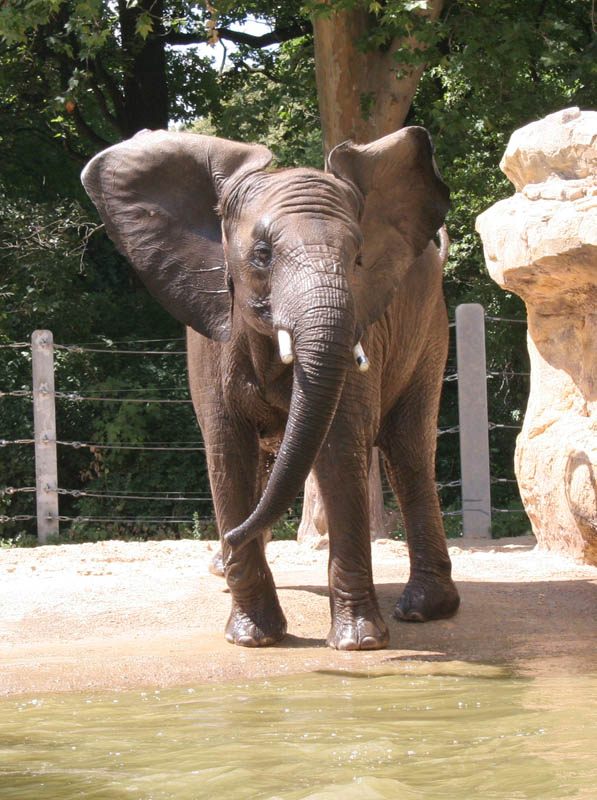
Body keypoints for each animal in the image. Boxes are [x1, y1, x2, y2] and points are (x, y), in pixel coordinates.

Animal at [81, 125, 458, 648]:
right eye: (262, 256)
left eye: (358, 259)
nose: (230, 539)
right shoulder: (213, 335)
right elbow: (228, 453)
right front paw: (253, 638)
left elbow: (340, 448)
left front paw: (359, 643)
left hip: (430, 332)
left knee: (408, 452)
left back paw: (423, 609)